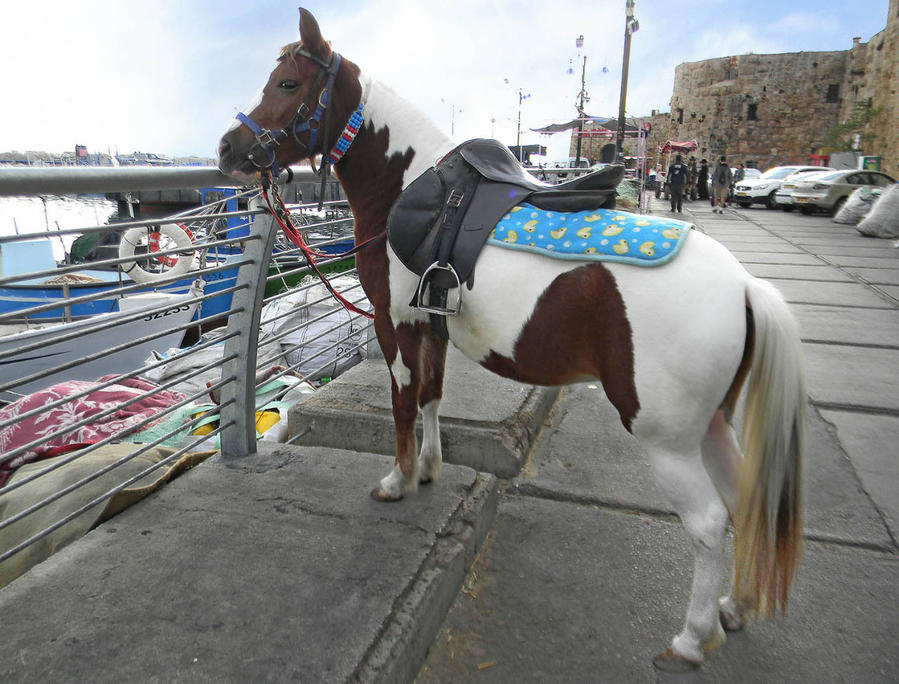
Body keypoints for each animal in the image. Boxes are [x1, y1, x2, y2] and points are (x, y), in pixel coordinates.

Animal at [218, 9, 808, 672]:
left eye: (288, 84)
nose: (227, 148)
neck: (407, 187)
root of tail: (745, 287)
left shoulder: (393, 323)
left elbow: (402, 403)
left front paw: (397, 480)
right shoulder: (432, 325)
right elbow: (432, 397)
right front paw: (429, 468)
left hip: (668, 438)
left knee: (708, 522)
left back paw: (690, 637)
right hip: (711, 424)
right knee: (744, 498)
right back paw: (734, 607)